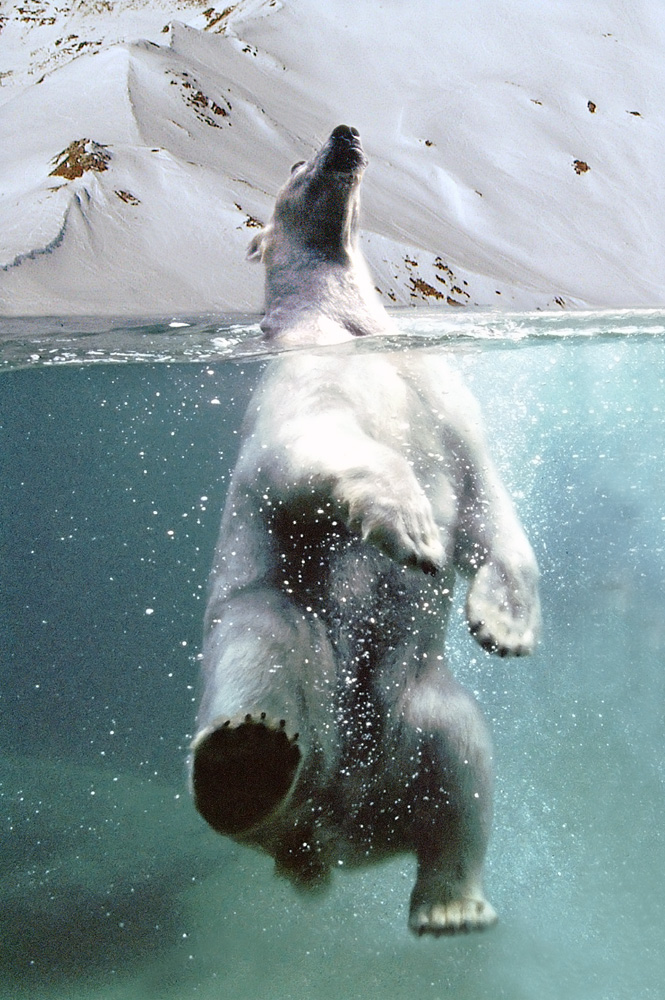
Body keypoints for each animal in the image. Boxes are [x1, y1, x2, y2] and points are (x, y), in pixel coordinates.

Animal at [188, 127, 540, 936]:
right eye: (294, 164)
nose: (343, 136)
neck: (352, 326)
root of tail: (335, 830)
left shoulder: (439, 390)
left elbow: (485, 499)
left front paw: (504, 624)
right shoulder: (303, 382)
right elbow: (312, 451)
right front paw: (412, 526)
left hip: (421, 711)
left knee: (463, 766)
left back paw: (451, 908)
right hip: (282, 626)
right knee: (260, 659)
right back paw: (246, 762)